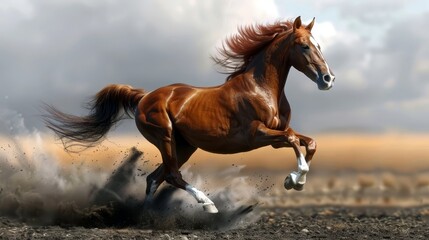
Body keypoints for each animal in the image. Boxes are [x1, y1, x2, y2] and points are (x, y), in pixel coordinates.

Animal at [42, 15, 334, 213]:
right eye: (304, 46)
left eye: (319, 45)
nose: (328, 79)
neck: (261, 89)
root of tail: (144, 97)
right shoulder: (257, 134)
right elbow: (294, 140)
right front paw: (294, 180)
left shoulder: (275, 135)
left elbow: (309, 143)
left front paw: (294, 180)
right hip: (165, 137)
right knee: (171, 176)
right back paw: (208, 204)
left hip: (183, 146)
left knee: (155, 178)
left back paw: (147, 217)